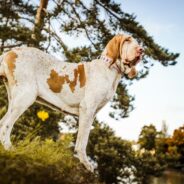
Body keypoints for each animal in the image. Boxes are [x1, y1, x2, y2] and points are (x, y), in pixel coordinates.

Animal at [0, 34, 143, 171]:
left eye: (137, 42)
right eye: (127, 40)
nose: (141, 50)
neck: (110, 70)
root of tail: (9, 52)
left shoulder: (90, 115)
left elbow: (81, 138)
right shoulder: (87, 110)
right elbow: (82, 141)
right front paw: (85, 164)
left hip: (15, 100)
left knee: (2, 122)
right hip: (25, 97)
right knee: (6, 125)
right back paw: (9, 148)